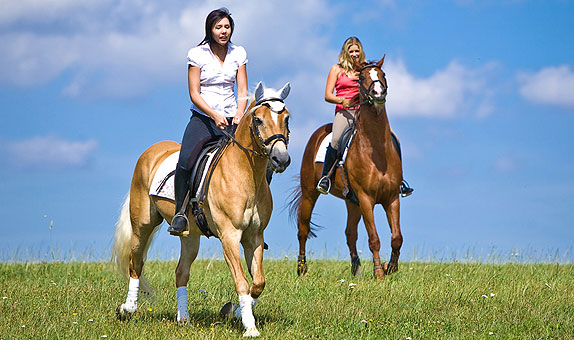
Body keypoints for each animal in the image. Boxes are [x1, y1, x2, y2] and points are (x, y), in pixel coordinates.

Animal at [112, 83, 292, 338]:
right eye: (258, 120)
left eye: (286, 118)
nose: (281, 159)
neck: (246, 175)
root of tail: (152, 151)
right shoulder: (229, 236)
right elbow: (242, 281)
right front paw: (250, 327)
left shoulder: (254, 237)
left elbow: (258, 282)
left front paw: (234, 311)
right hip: (142, 225)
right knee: (135, 263)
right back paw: (127, 309)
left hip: (190, 236)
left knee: (181, 272)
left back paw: (184, 319)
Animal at [292, 56, 404, 278]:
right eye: (361, 78)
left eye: (383, 74)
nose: (378, 94)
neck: (377, 149)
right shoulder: (366, 199)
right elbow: (374, 238)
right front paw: (379, 272)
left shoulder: (392, 197)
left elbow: (397, 237)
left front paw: (390, 268)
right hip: (310, 193)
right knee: (303, 228)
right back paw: (301, 268)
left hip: (351, 201)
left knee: (350, 233)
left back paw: (356, 268)